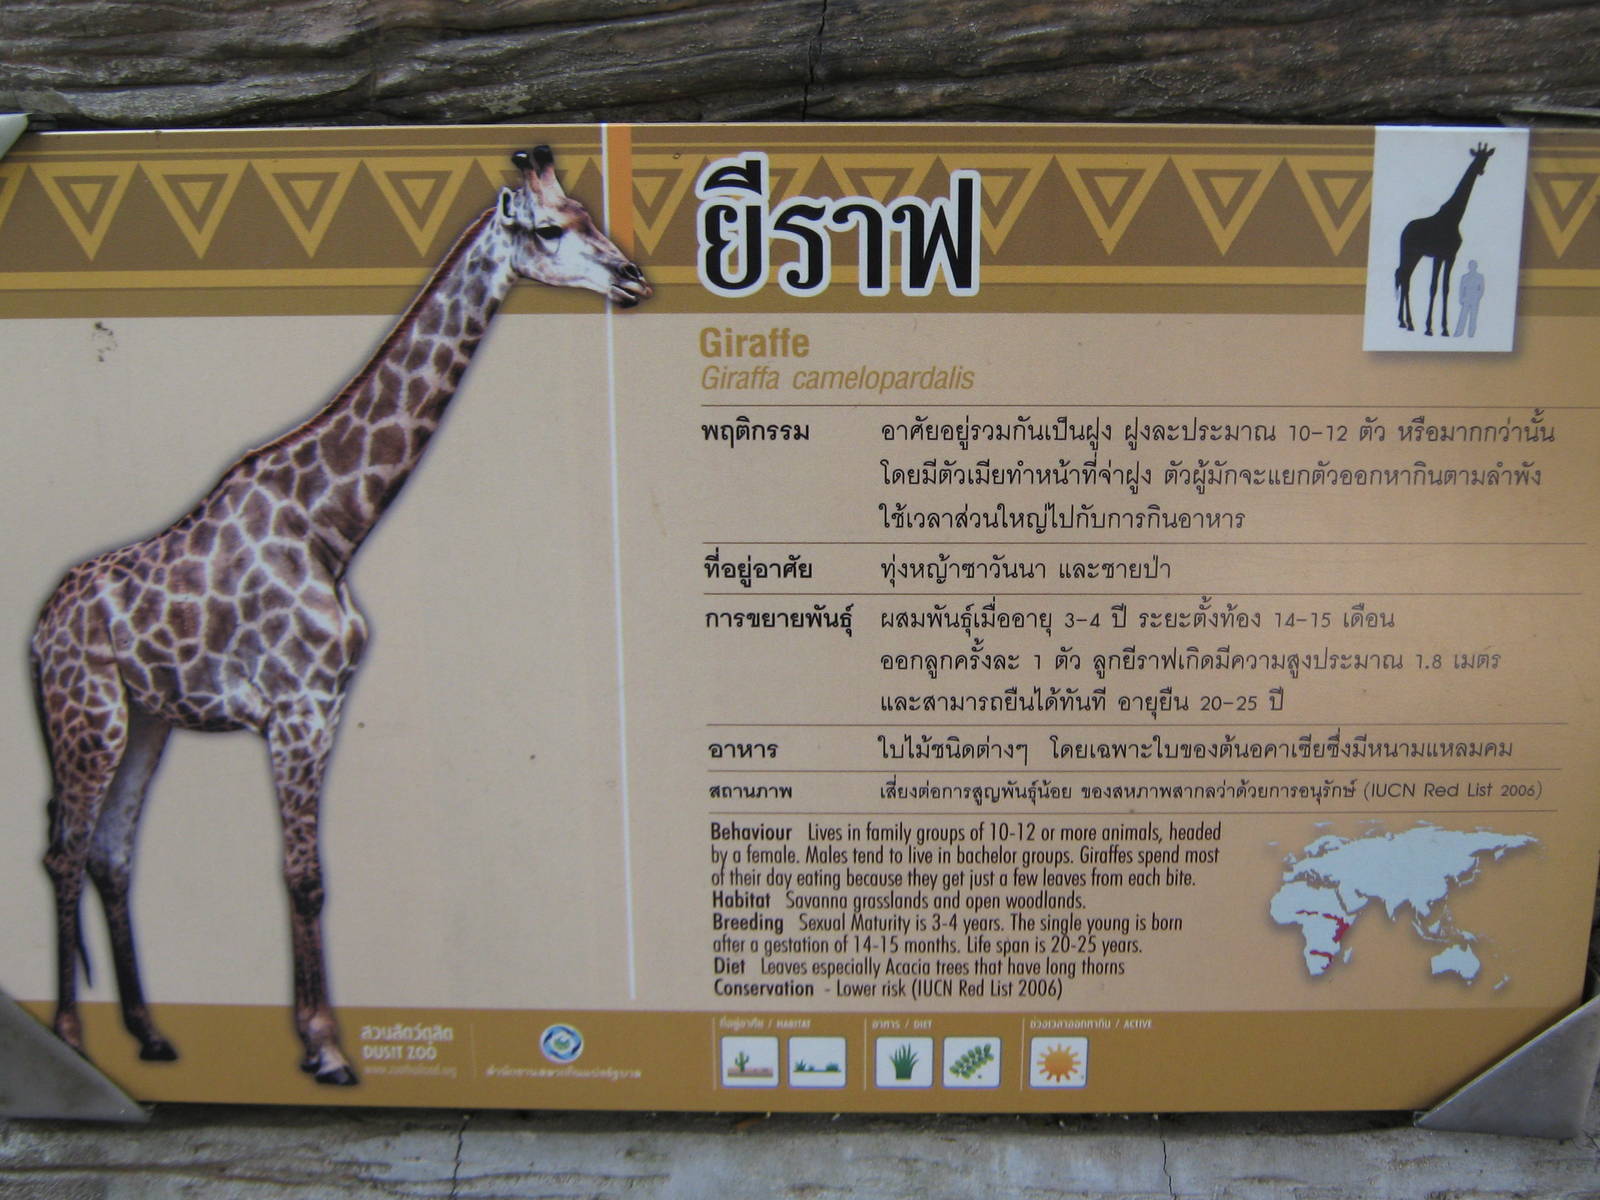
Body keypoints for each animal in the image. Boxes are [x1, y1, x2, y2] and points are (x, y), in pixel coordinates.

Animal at [29, 145, 650, 1086]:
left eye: (588, 214)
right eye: (548, 229)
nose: (636, 279)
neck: (332, 525)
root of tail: (35, 631)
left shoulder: (317, 709)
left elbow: (300, 873)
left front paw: (315, 1038)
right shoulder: (297, 709)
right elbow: (304, 875)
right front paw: (323, 1049)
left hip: (146, 722)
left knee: (110, 852)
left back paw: (149, 1034)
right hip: (88, 716)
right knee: (64, 851)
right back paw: (70, 1036)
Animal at [1394, 141, 1495, 336]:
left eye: (1485, 158)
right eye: (1476, 158)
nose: (1481, 170)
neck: (1453, 218)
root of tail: (1405, 230)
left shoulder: (1450, 256)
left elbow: (1446, 288)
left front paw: (1445, 328)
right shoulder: (1439, 256)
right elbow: (1433, 287)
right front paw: (1429, 328)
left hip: (1416, 255)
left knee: (1405, 277)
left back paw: (1405, 322)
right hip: (1408, 252)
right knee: (1403, 277)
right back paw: (1408, 322)